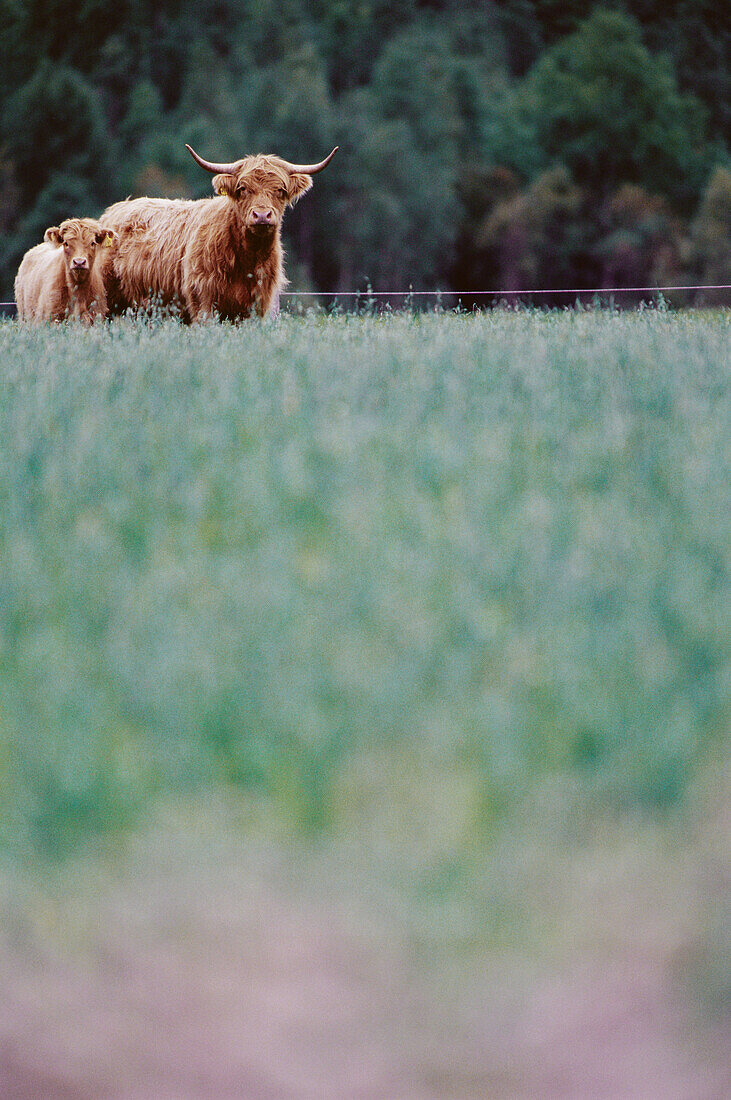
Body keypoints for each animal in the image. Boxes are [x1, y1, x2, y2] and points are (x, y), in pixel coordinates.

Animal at [100, 145, 338, 321]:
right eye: (243, 189)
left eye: (280, 190)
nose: (262, 215)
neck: (248, 259)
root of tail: (113, 211)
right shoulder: (203, 302)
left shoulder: (256, 306)